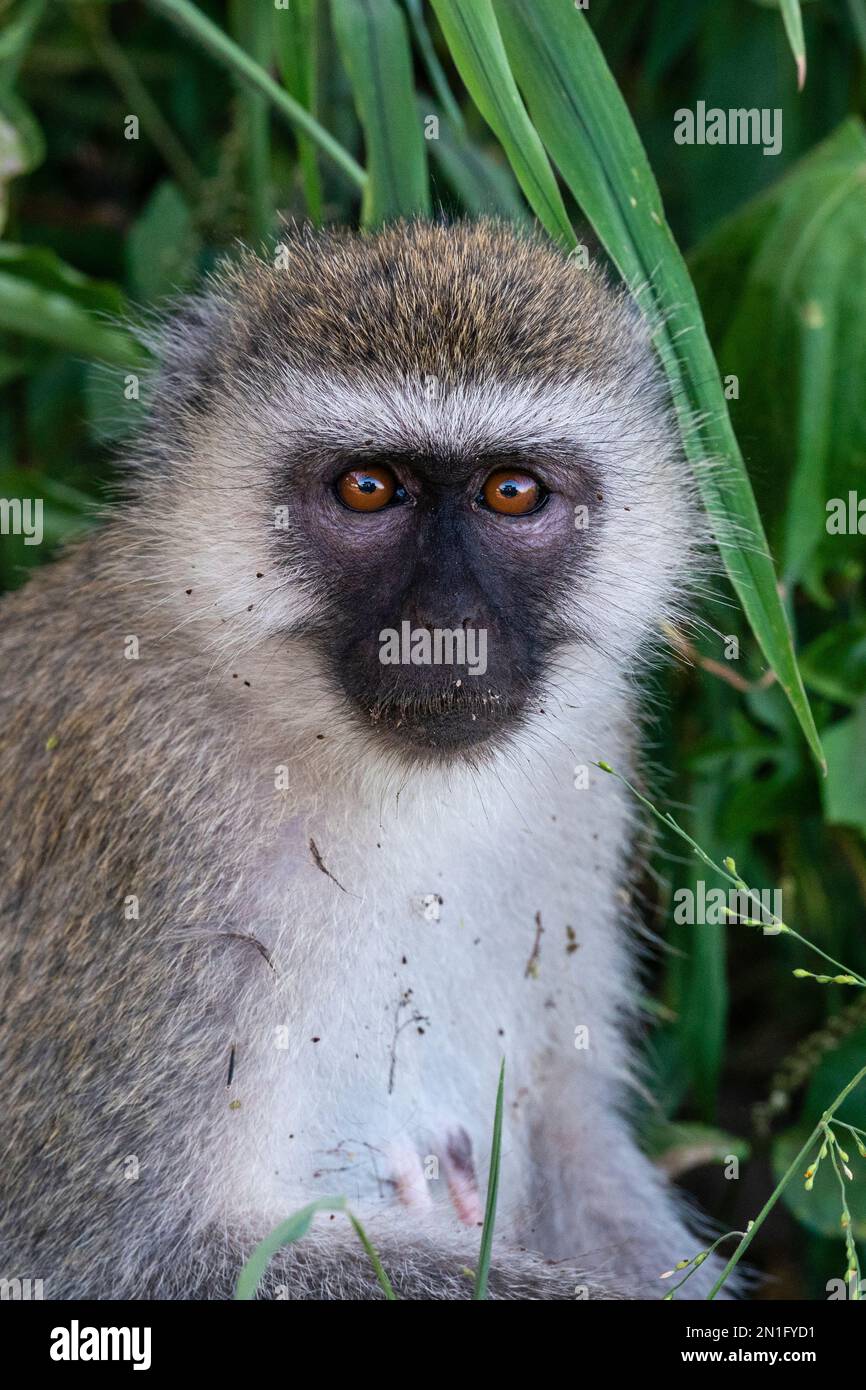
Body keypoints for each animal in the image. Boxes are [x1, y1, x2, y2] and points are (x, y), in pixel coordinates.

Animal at [1, 222, 717, 1295]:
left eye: (513, 492)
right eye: (368, 488)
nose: (446, 625)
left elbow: (569, 1126)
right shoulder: (142, 827)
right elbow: (117, 1251)